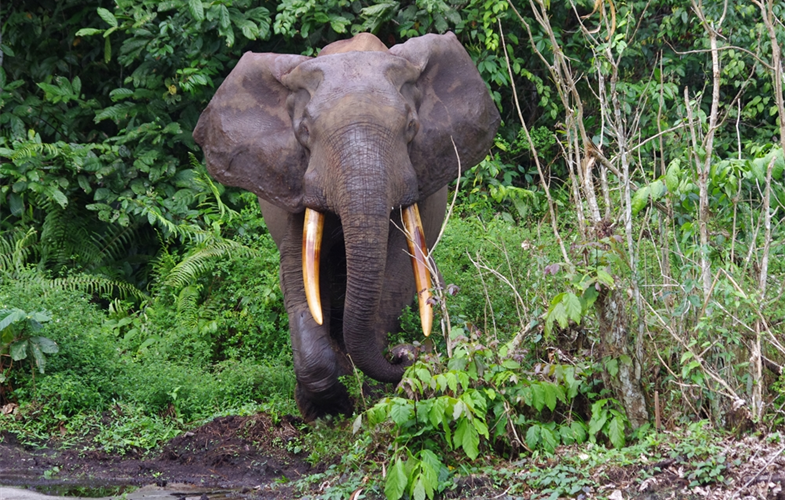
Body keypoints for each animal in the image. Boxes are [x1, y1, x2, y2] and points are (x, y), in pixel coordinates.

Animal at [193, 32, 500, 421]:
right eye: (304, 132)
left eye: (411, 128)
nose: (404, 354)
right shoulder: (294, 181)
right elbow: (298, 272)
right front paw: (328, 409)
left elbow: (395, 267)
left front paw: (371, 395)